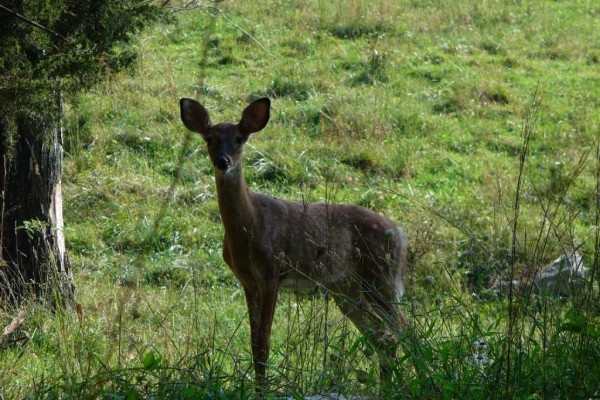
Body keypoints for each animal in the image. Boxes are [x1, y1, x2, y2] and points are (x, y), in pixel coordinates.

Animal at [180, 97, 410, 394]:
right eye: (209, 138)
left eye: (240, 138)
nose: (223, 161)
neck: (249, 228)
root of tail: (401, 235)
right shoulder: (247, 281)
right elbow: (254, 343)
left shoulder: (272, 272)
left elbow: (263, 344)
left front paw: (263, 392)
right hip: (346, 287)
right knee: (383, 336)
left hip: (380, 275)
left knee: (404, 328)